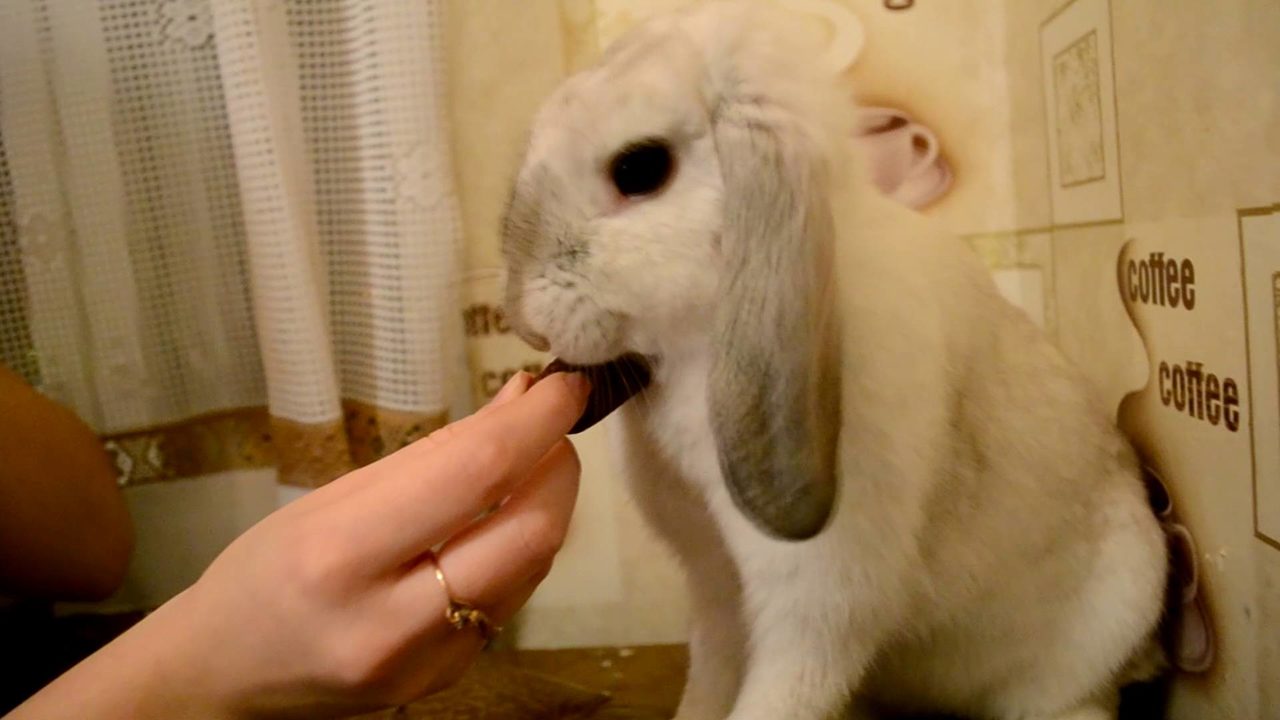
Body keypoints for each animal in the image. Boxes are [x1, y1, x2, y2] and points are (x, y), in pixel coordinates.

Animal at [499, 1, 1170, 718]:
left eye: (640, 169)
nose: (524, 317)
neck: (695, 355)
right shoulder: (715, 582)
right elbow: (710, 675)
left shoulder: (820, 601)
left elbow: (785, 690)